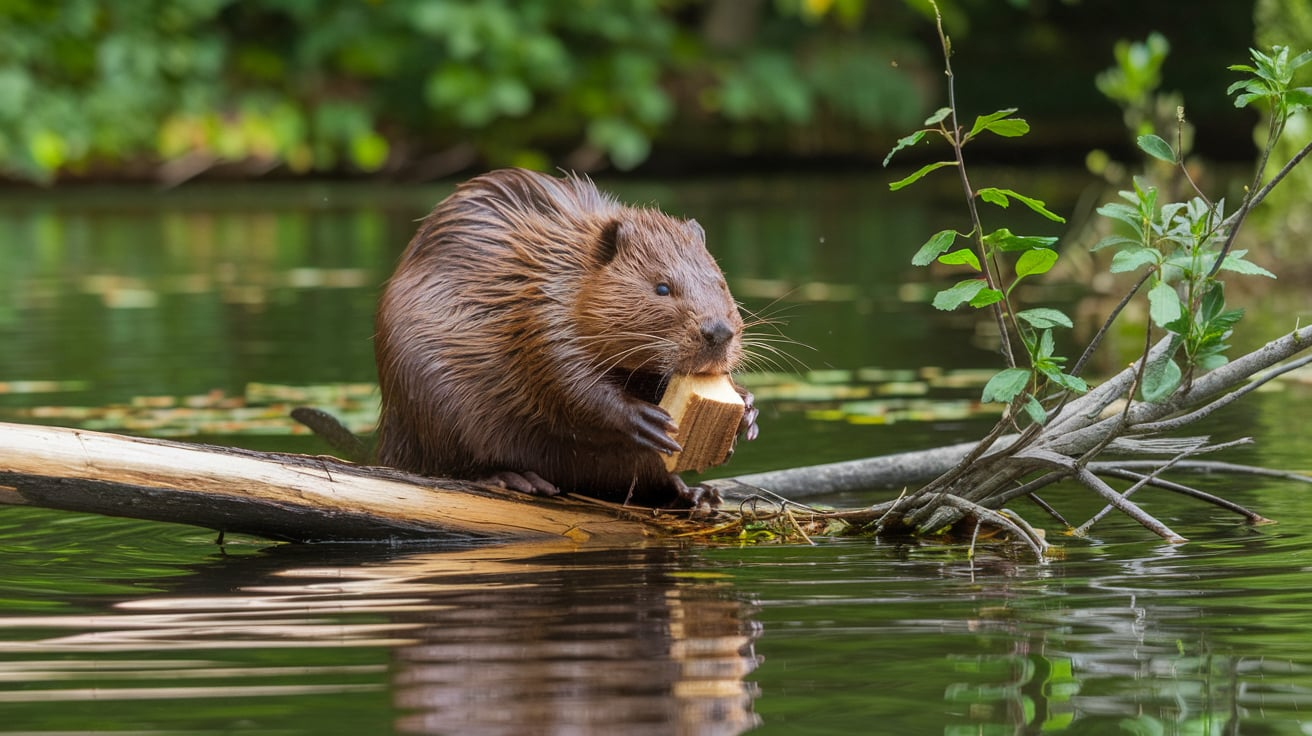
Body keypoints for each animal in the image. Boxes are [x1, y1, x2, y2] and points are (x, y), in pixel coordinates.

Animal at [372, 169, 760, 509]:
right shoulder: (543, 308)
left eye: (719, 282)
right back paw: (517, 478)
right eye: (662, 287)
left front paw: (747, 410)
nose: (718, 332)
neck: (563, 265)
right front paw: (644, 419)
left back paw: (697, 494)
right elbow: (564, 379)